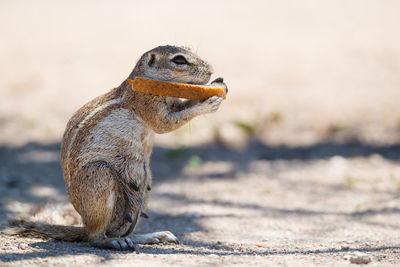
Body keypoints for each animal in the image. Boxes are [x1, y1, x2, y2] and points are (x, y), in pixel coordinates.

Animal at [7, 45, 225, 251]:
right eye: (179, 60)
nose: (212, 71)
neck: (148, 82)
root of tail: (84, 226)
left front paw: (217, 86)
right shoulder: (146, 103)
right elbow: (164, 123)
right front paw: (209, 102)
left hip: (146, 186)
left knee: (124, 231)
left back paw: (150, 236)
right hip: (99, 175)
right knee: (95, 237)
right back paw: (113, 242)